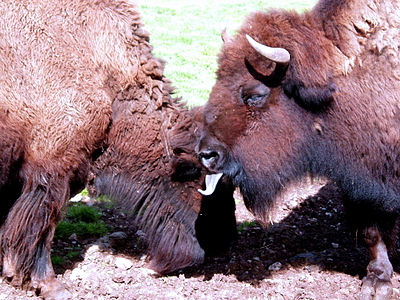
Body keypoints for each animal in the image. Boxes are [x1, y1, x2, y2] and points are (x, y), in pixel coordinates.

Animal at [0, 1, 236, 298]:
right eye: (209, 186)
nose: (224, 240)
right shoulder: (52, 168)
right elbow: (42, 225)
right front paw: (50, 285)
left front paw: (11, 273)